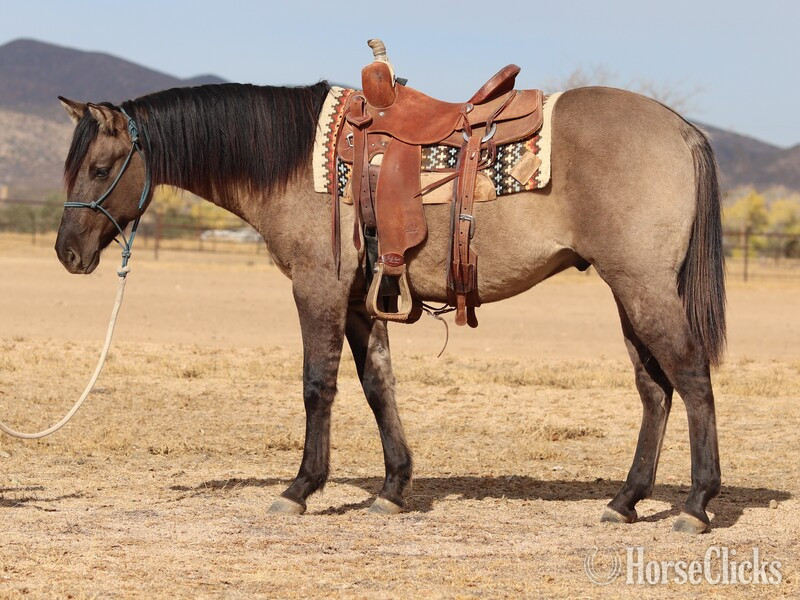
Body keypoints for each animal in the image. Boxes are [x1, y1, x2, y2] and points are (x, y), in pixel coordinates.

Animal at [55, 79, 725, 534]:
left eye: (100, 166)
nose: (67, 252)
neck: (297, 160)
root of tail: (682, 129)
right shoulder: (361, 301)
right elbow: (379, 385)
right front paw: (394, 487)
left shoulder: (318, 287)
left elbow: (318, 385)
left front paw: (300, 488)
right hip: (628, 292)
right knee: (655, 389)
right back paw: (626, 500)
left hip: (644, 287)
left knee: (692, 378)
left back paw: (696, 504)